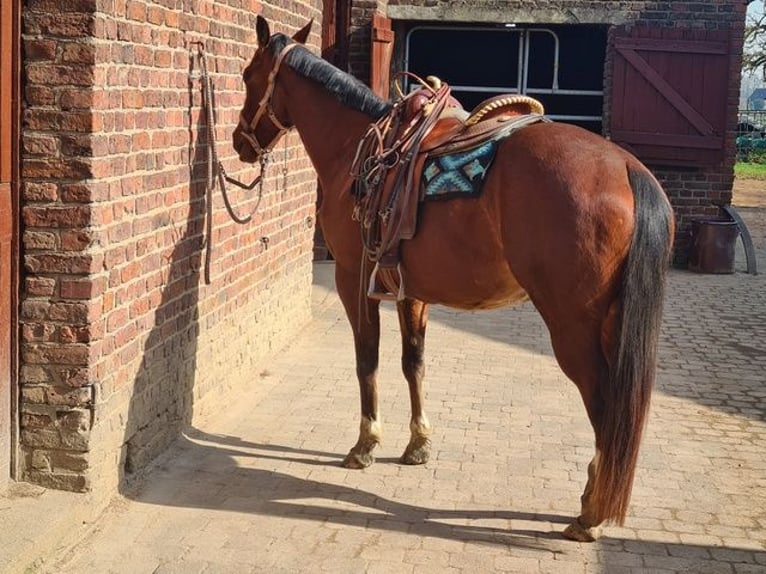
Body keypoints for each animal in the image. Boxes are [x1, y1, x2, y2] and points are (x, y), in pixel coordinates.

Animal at [232, 16, 675, 542]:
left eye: (247, 75)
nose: (239, 142)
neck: (356, 148)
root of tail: (626, 167)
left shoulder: (353, 280)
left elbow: (367, 362)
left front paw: (365, 445)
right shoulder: (410, 291)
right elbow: (414, 364)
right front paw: (418, 444)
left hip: (574, 329)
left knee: (605, 407)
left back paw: (589, 512)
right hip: (611, 323)